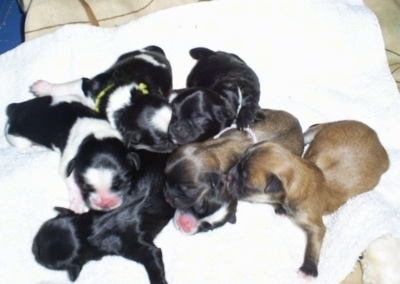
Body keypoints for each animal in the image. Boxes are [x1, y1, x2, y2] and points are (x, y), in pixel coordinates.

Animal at [3, 96, 139, 213]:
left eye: (122, 182)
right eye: (85, 186)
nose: (105, 204)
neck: (96, 135)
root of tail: (17, 107)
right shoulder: (68, 165)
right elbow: (73, 185)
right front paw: (77, 205)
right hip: (16, 139)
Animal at [30, 45, 176, 153]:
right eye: (163, 143)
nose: (178, 144)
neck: (126, 104)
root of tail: (156, 52)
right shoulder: (87, 87)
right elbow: (67, 86)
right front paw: (40, 87)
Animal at [31, 150, 175, 282]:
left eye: (41, 256)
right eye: (38, 239)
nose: (33, 250)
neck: (92, 231)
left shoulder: (133, 245)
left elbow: (153, 255)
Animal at [227, 119, 390, 278]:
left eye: (245, 179)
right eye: (238, 162)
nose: (229, 175)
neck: (301, 176)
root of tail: (376, 136)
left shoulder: (315, 225)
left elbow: (313, 245)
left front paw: (308, 268)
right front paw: (279, 208)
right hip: (315, 131)